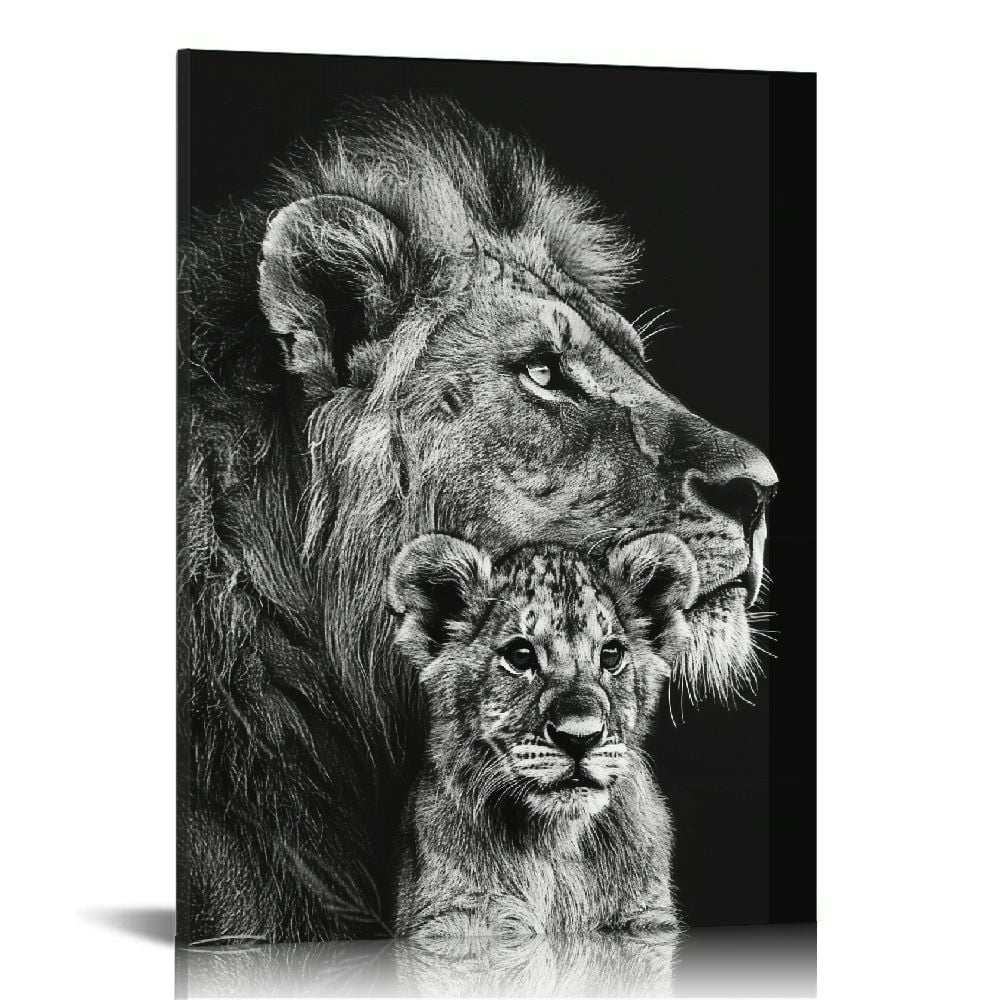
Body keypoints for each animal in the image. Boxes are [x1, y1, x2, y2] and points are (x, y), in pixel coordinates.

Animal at [388, 531, 698, 937]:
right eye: (520, 656)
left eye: (611, 655)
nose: (580, 737)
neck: (555, 843)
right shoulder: (454, 918)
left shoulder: (646, 918)